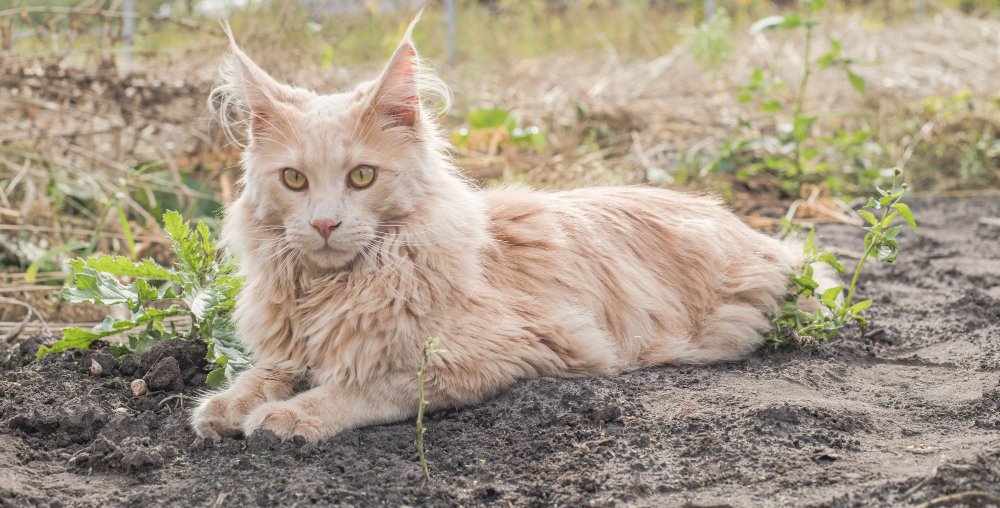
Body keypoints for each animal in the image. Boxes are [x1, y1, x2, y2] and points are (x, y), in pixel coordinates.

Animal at [193, 17, 820, 442]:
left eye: (362, 176)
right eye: (295, 179)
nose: (324, 223)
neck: (330, 290)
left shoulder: (490, 352)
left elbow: (362, 387)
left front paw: (288, 416)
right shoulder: (289, 347)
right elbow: (264, 372)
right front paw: (226, 405)